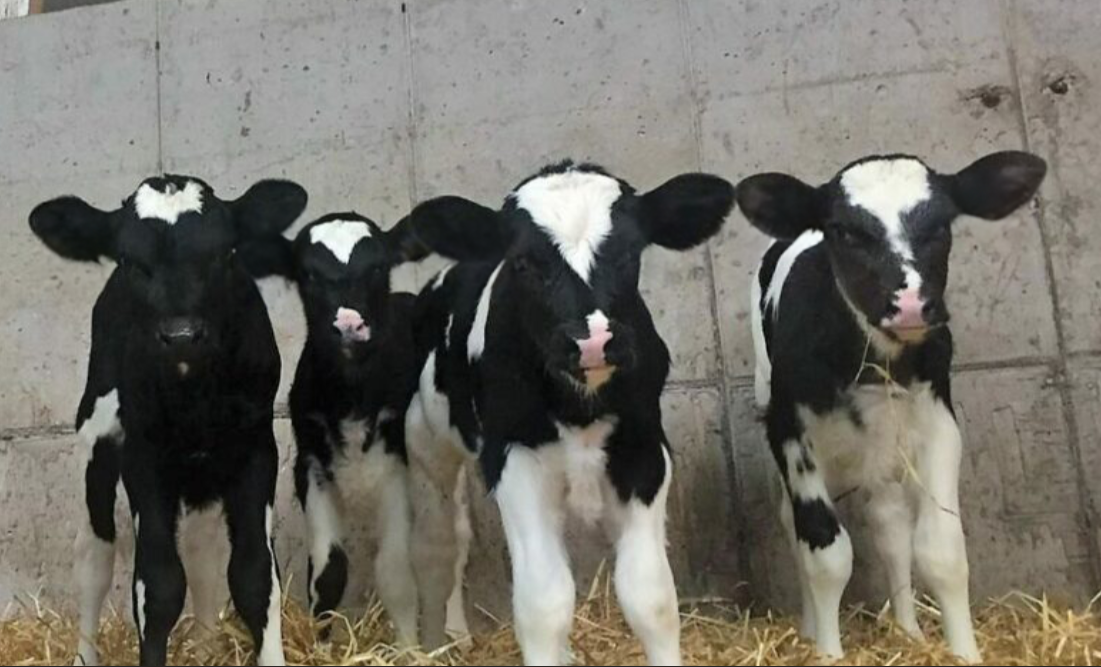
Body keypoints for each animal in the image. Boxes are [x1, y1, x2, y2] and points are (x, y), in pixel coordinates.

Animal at [29, 175, 308, 667]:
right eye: (128, 259)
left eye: (225, 252)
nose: (181, 335)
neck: (193, 393)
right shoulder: (142, 456)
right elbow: (158, 586)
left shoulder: (256, 448)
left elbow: (255, 575)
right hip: (96, 435)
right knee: (94, 556)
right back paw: (86, 655)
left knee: (200, 548)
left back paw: (206, 643)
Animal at [240, 211, 436, 645]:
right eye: (308, 274)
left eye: (377, 267)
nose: (348, 325)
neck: (352, 396)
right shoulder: (311, 464)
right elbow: (328, 572)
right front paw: (321, 647)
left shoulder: (398, 464)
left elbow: (396, 573)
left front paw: (410, 649)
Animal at [400, 161, 735, 666]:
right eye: (523, 262)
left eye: (630, 252)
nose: (592, 341)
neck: (579, 406)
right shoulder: (514, 460)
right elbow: (544, 604)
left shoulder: (644, 454)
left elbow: (651, 598)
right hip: (427, 443)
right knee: (444, 540)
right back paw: (447, 638)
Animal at [736, 151, 1048, 661]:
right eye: (844, 230)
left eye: (940, 224)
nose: (911, 305)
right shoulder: (789, 430)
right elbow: (826, 553)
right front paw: (828, 654)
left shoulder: (939, 422)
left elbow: (941, 550)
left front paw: (964, 653)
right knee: (792, 522)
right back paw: (810, 630)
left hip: (884, 444)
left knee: (891, 525)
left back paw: (908, 631)